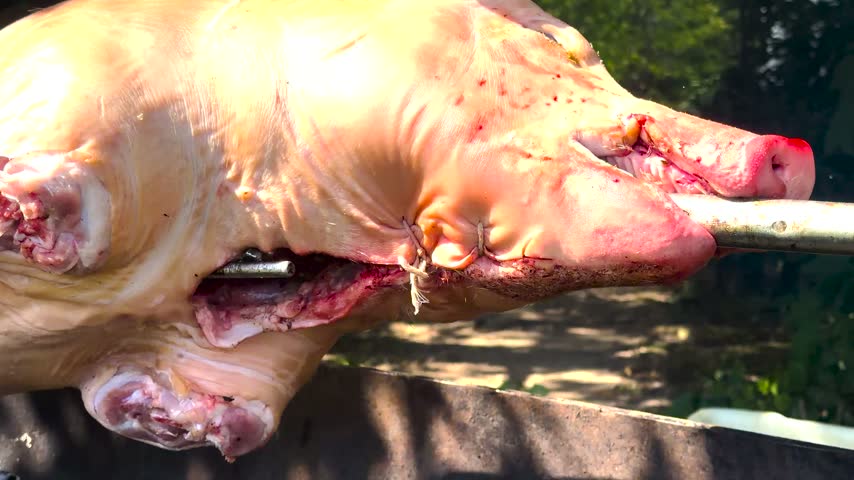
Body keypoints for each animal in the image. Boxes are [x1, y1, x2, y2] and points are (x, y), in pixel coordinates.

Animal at [0, 0, 815, 460]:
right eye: (567, 46)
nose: (789, 154)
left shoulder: (247, 356)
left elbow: (223, 418)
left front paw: (187, 428)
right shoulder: (78, 80)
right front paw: (22, 212)